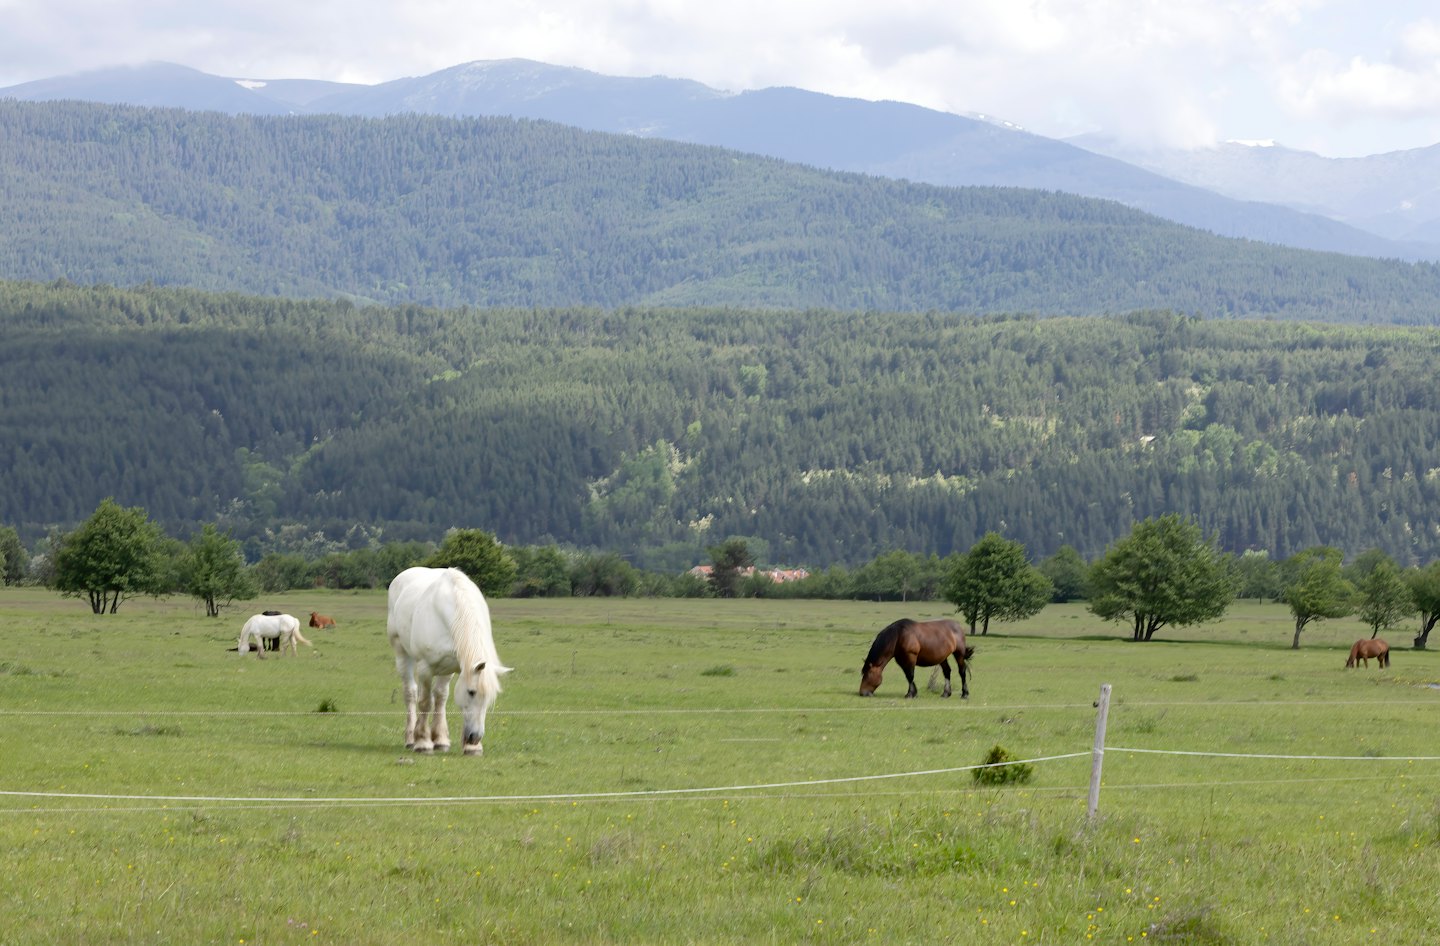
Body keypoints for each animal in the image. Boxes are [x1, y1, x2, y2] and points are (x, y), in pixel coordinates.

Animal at [387, 566, 511, 755]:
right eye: (471, 692)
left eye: (490, 696)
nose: (475, 738)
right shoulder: (425, 668)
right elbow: (425, 702)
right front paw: (423, 742)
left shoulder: (452, 667)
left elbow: (441, 698)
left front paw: (446, 741)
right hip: (401, 653)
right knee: (410, 693)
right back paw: (410, 739)